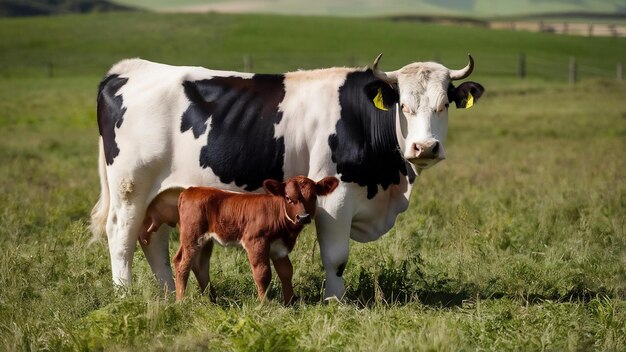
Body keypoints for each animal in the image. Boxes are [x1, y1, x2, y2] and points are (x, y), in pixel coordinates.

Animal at [173, 175, 336, 302]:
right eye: (288, 198)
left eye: (314, 197)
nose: (303, 217)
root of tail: (191, 190)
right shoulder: (256, 241)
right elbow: (262, 273)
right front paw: (265, 304)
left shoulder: (279, 248)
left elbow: (286, 272)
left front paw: (290, 302)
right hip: (192, 236)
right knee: (182, 264)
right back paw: (181, 301)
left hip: (204, 240)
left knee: (199, 264)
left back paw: (212, 299)